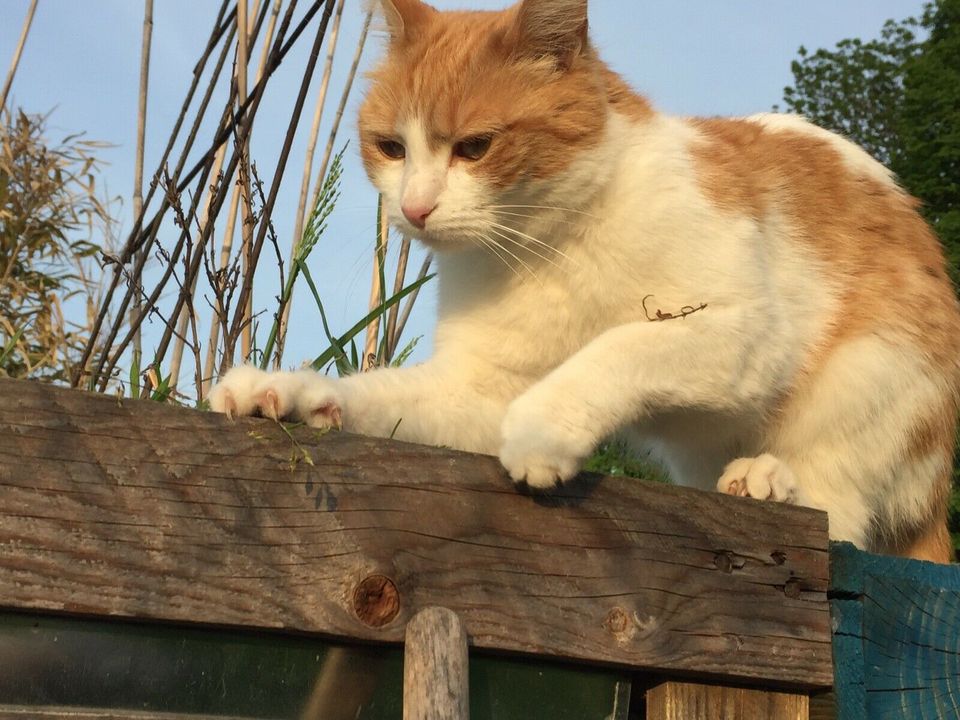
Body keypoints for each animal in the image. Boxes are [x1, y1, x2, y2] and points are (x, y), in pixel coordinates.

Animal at [214, 0, 960, 564]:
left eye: (476, 147)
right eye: (391, 147)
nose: (415, 209)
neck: (545, 248)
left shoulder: (746, 333)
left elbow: (621, 346)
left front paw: (542, 429)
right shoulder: (477, 391)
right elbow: (376, 397)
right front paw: (286, 392)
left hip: (872, 373)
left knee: (843, 516)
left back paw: (770, 479)